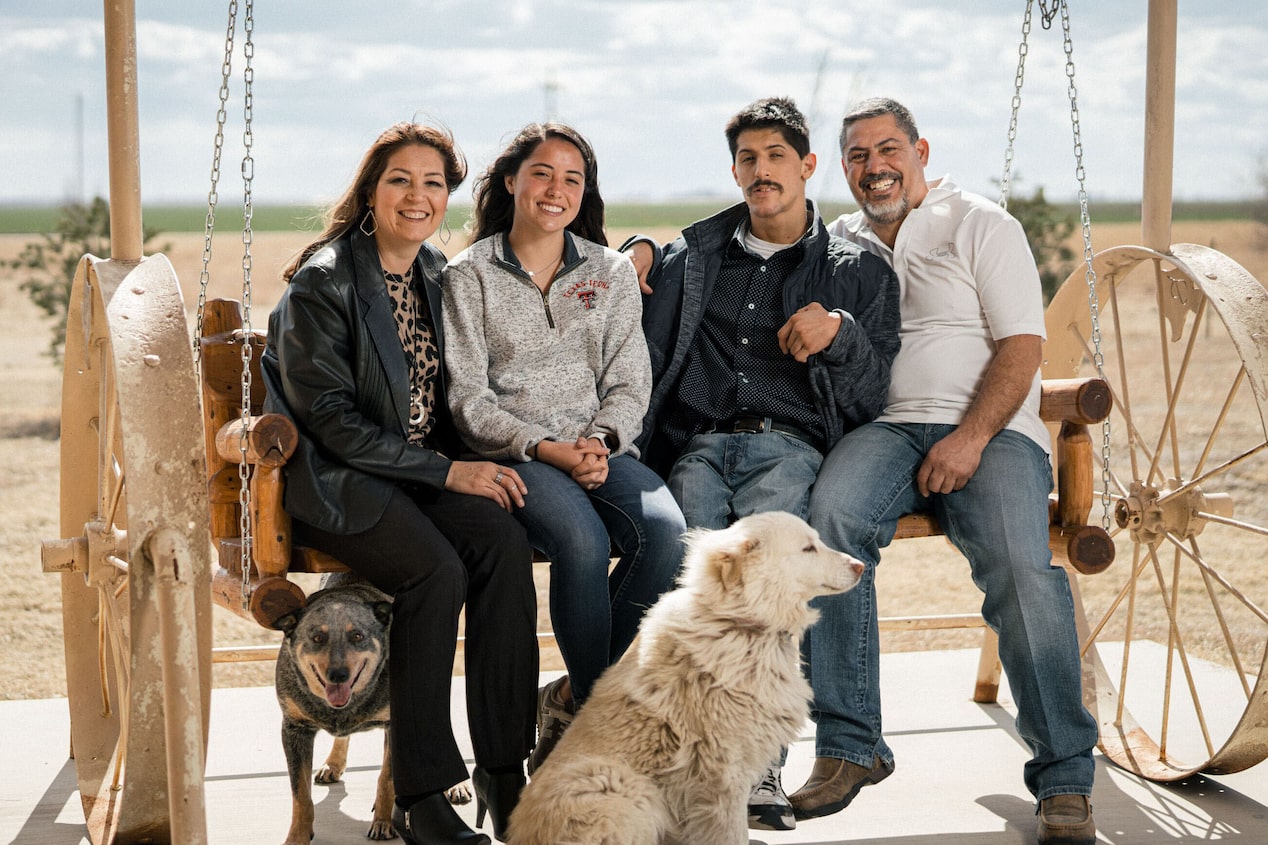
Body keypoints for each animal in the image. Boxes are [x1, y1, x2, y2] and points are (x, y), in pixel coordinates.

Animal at [509, 507, 867, 842]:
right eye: (808, 548)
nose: (861, 566)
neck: (739, 625)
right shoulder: (724, 774)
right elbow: (732, 833)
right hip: (624, 786)